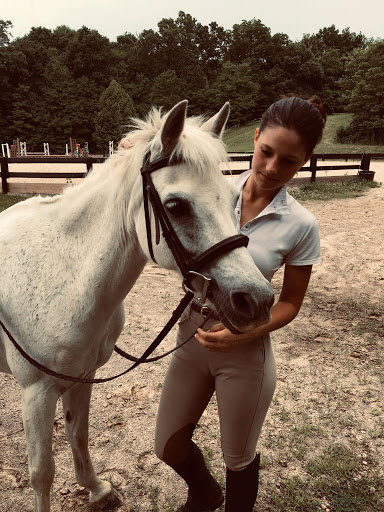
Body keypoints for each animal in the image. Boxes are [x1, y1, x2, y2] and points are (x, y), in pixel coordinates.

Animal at [1, 101, 274, 512]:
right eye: (176, 205)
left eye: (232, 200)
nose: (256, 299)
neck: (62, 275)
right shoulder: (36, 393)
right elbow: (42, 473)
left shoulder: (82, 377)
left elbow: (79, 435)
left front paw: (97, 490)